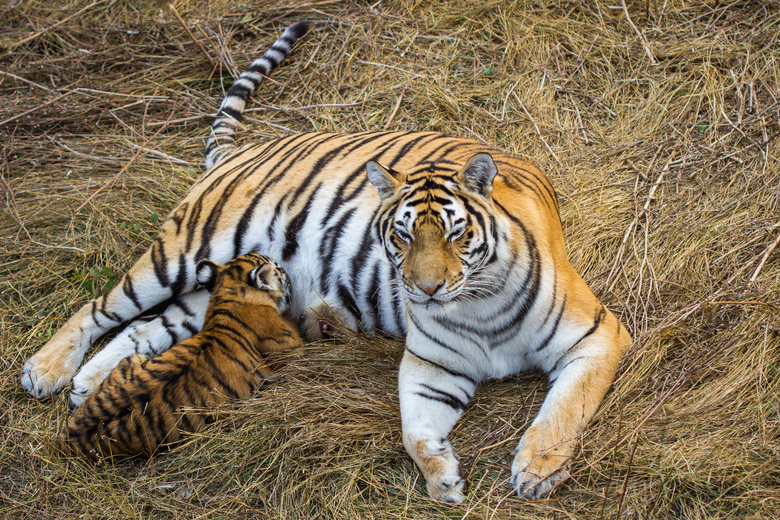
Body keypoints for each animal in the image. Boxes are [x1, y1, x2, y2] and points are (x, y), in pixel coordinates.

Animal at [57, 254, 302, 462]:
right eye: (279, 270)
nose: (287, 270)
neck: (229, 294)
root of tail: (69, 435)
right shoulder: (289, 347)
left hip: (132, 359)